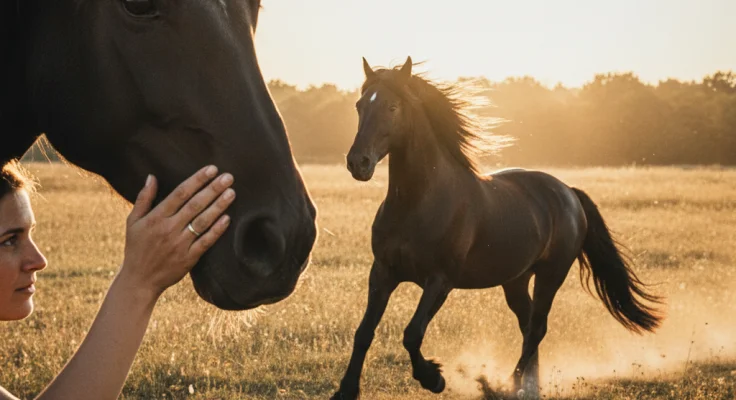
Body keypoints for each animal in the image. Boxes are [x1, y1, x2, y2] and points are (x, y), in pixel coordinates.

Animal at [331, 57, 663, 399]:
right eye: (359, 105)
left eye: (393, 106)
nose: (358, 162)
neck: (418, 202)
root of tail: (569, 192)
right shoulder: (383, 273)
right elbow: (364, 332)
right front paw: (345, 391)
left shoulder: (440, 280)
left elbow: (412, 333)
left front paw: (434, 378)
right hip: (516, 280)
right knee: (528, 325)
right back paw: (528, 386)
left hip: (551, 275)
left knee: (537, 328)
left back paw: (506, 385)